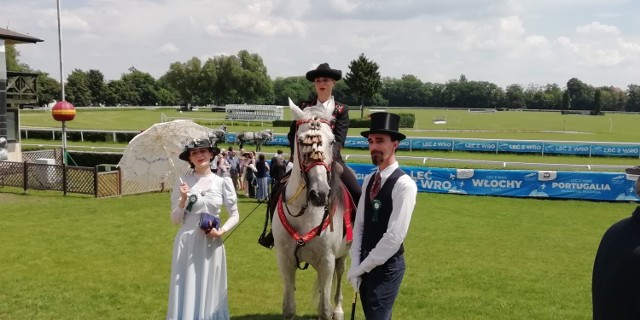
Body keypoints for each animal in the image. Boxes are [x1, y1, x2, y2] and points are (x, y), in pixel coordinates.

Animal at [272, 98, 356, 320]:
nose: (319, 194)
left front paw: (330, 310)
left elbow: (325, 310)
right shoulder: (285, 261)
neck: (306, 213)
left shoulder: (327, 261)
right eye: (302, 141)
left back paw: (338, 310)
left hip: (341, 256)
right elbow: (289, 308)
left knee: (338, 276)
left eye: (332, 141)